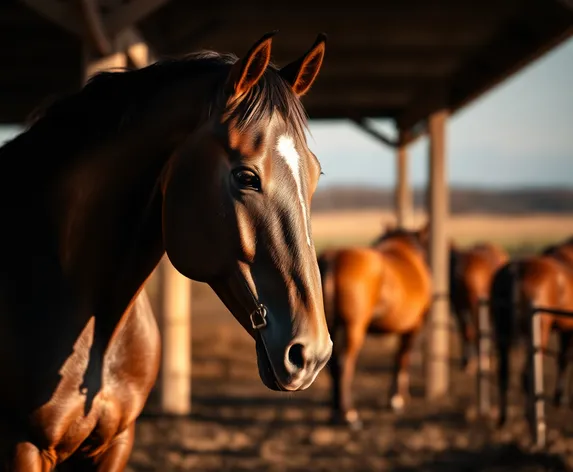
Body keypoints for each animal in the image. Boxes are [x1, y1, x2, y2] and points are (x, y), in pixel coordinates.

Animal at [316, 225, 432, 428]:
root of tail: (333, 257)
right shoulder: (413, 328)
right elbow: (402, 358)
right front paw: (397, 399)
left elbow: (399, 357)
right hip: (354, 328)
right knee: (343, 364)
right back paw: (349, 414)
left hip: (331, 326)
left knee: (332, 366)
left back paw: (335, 412)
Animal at [490, 238, 572, 426]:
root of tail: (516, 269)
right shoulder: (569, 330)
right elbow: (564, 359)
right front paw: (559, 399)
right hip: (538, 334)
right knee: (527, 375)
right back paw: (532, 418)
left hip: (503, 333)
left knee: (504, 373)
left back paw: (503, 418)